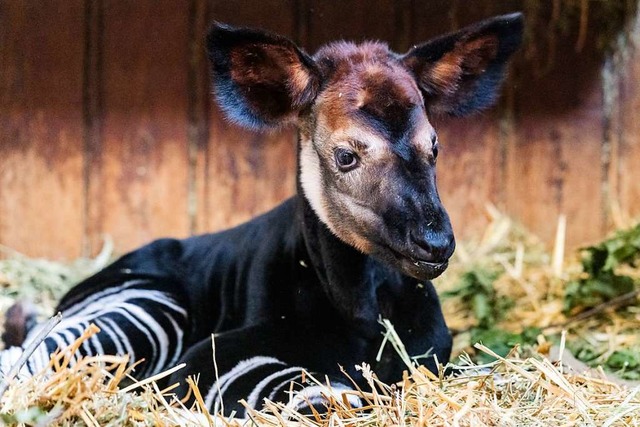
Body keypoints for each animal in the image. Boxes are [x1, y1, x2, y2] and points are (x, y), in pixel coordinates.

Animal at [0, 14, 524, 418]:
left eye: (434, 147)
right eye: (346, 156)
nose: (435, 243)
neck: (367, 314)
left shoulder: (434, 359)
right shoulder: (209, 360)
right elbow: (300, 392)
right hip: (149, 309)